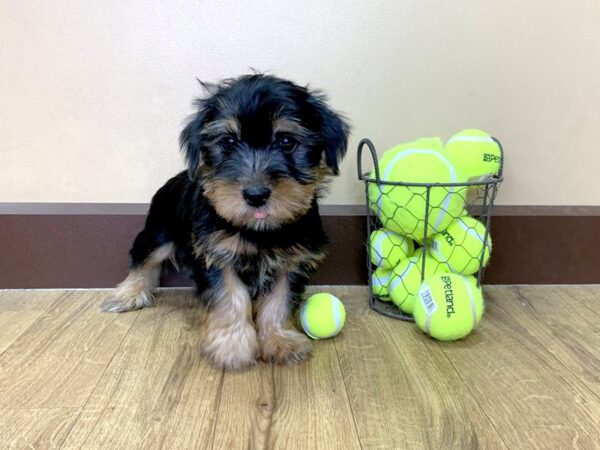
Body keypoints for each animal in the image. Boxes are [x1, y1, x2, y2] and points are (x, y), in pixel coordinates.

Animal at [101, 74, 350, 370]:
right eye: (228, 141)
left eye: (287, 141)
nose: (256, 195)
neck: (260, 231)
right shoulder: (217, 254)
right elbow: (231, 297)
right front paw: (232, 347)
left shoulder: (294, 259)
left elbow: (278, 300)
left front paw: (279, 340)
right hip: (158, 230)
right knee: (145, 260)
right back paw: (127, 294)